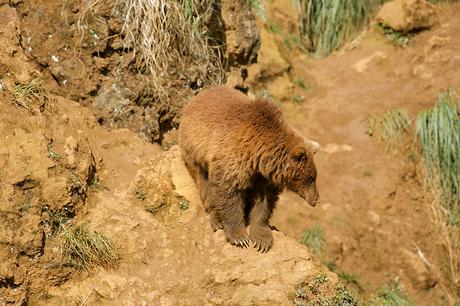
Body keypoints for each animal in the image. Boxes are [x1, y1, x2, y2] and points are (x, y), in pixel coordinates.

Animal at [179, 85, 320, 251]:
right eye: (311, 178)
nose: (317, 199)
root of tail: (197, 97)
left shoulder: (263, 178)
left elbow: (264, 204)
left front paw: (262, 239)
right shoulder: (232, 160)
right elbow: (228, 193)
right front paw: (239, 237)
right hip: (194, 150)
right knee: (204, 184)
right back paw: (216, 219)